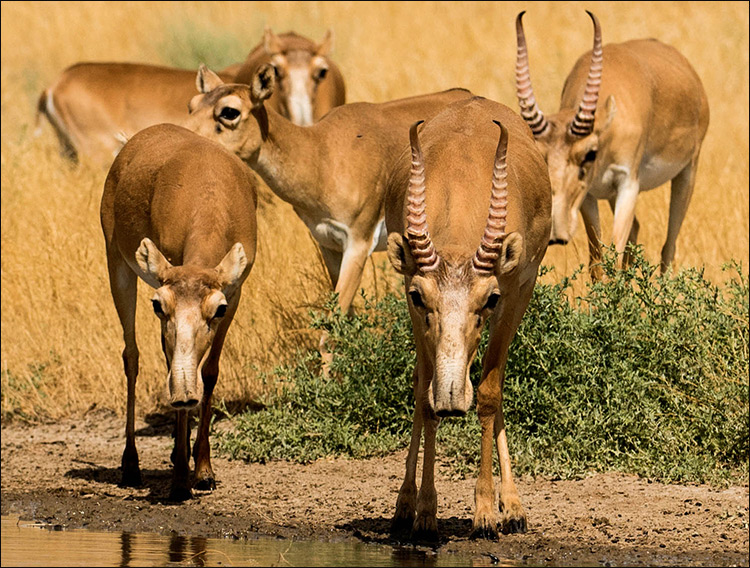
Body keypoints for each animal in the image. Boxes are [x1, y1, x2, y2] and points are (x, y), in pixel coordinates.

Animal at [100, 123, 258, 496]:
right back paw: (131, 466)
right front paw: (180, 481)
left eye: (218, 308)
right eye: (159, 304)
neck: (210, 197)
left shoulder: (236, 292)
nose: (185, 395)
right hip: (117, 264)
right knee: (132, 355)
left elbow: (211, 371)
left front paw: (202, 469)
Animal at [388, 98, 552, 540]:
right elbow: (423, 395)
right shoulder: (410, 296)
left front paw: (486, 512)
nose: (451, 399)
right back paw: (405, 506)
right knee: (420, 386)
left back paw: (512, 506)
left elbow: (491, 392)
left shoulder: (515, 293)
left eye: (488, 298)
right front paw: (424, 511)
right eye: (420, 296)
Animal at [516, 8, 712, 276]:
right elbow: (598, 262)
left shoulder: (628, 185)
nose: (557, 232)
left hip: (687, 172)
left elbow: (614, 258)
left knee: (668, 248)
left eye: (589, 154)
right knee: (636, 232)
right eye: (541, 157)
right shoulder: (588, 195)